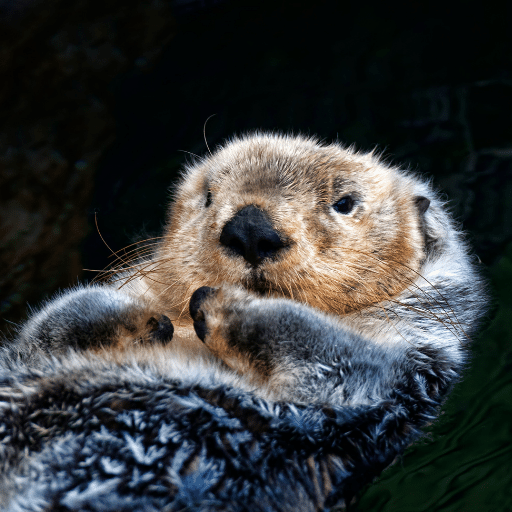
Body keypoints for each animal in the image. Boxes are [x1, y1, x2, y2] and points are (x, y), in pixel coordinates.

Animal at [0, 134, 488, 510]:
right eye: (208, 196)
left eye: (345, 203)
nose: (251, 228)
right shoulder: (34, 352)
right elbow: (48, 327)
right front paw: (143, 319)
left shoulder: (408, 362)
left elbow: (331, 350)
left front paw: (219, 303)